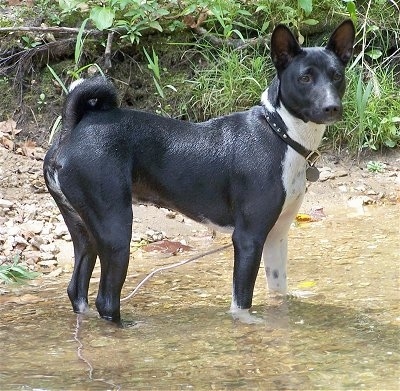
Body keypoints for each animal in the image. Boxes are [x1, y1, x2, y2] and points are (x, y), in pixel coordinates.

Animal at [44, 19, 356, 324]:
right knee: (106, 300)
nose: (332, 107)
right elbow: (241, 303)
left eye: (337, 75)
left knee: (77, 290)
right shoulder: (248, 237)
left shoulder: (277, 235)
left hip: (85, 231)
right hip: (116, 230)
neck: (280, 132)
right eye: (305, 78)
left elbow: (278, 292)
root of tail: (74, 129)